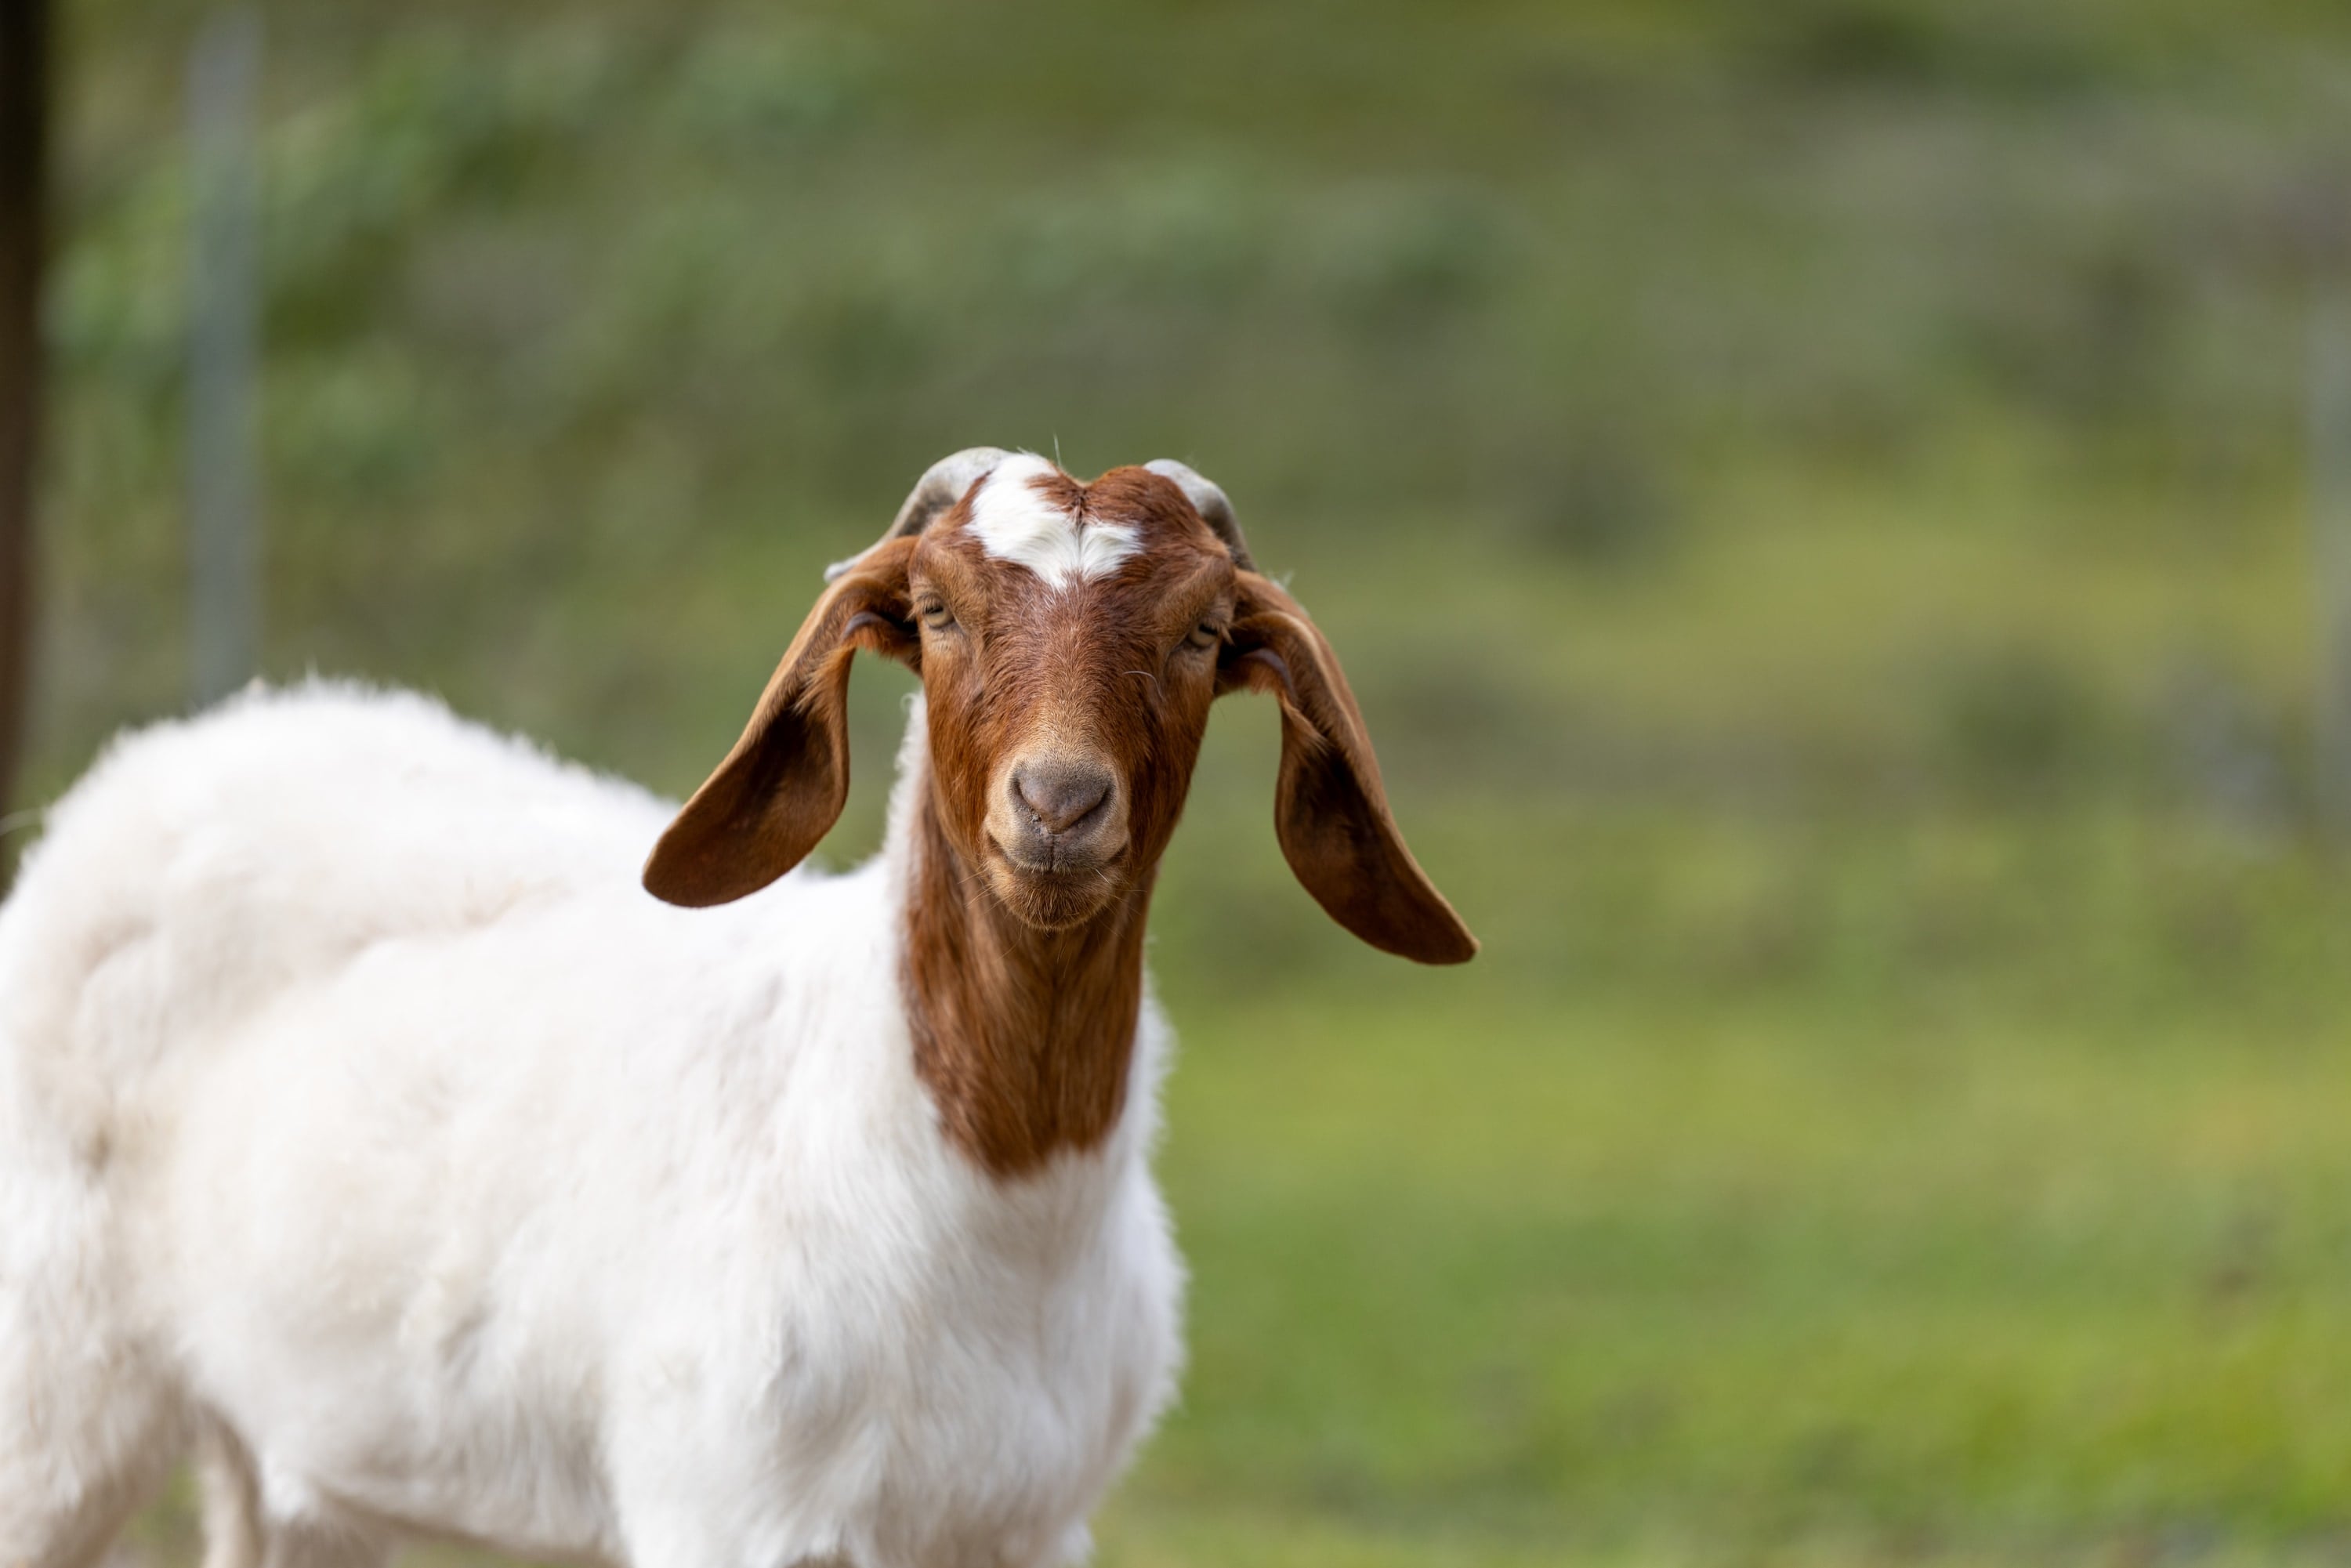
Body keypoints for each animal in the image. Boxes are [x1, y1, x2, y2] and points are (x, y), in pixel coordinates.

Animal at [0, 450, 1475, 1568]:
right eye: (936, 610)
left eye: (1203, 632)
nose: (1058, 805)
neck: (973, 1180)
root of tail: (138, 776)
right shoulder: (726, 1503)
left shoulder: (1028, 1525)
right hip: (51, 1381)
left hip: (288, 1448)